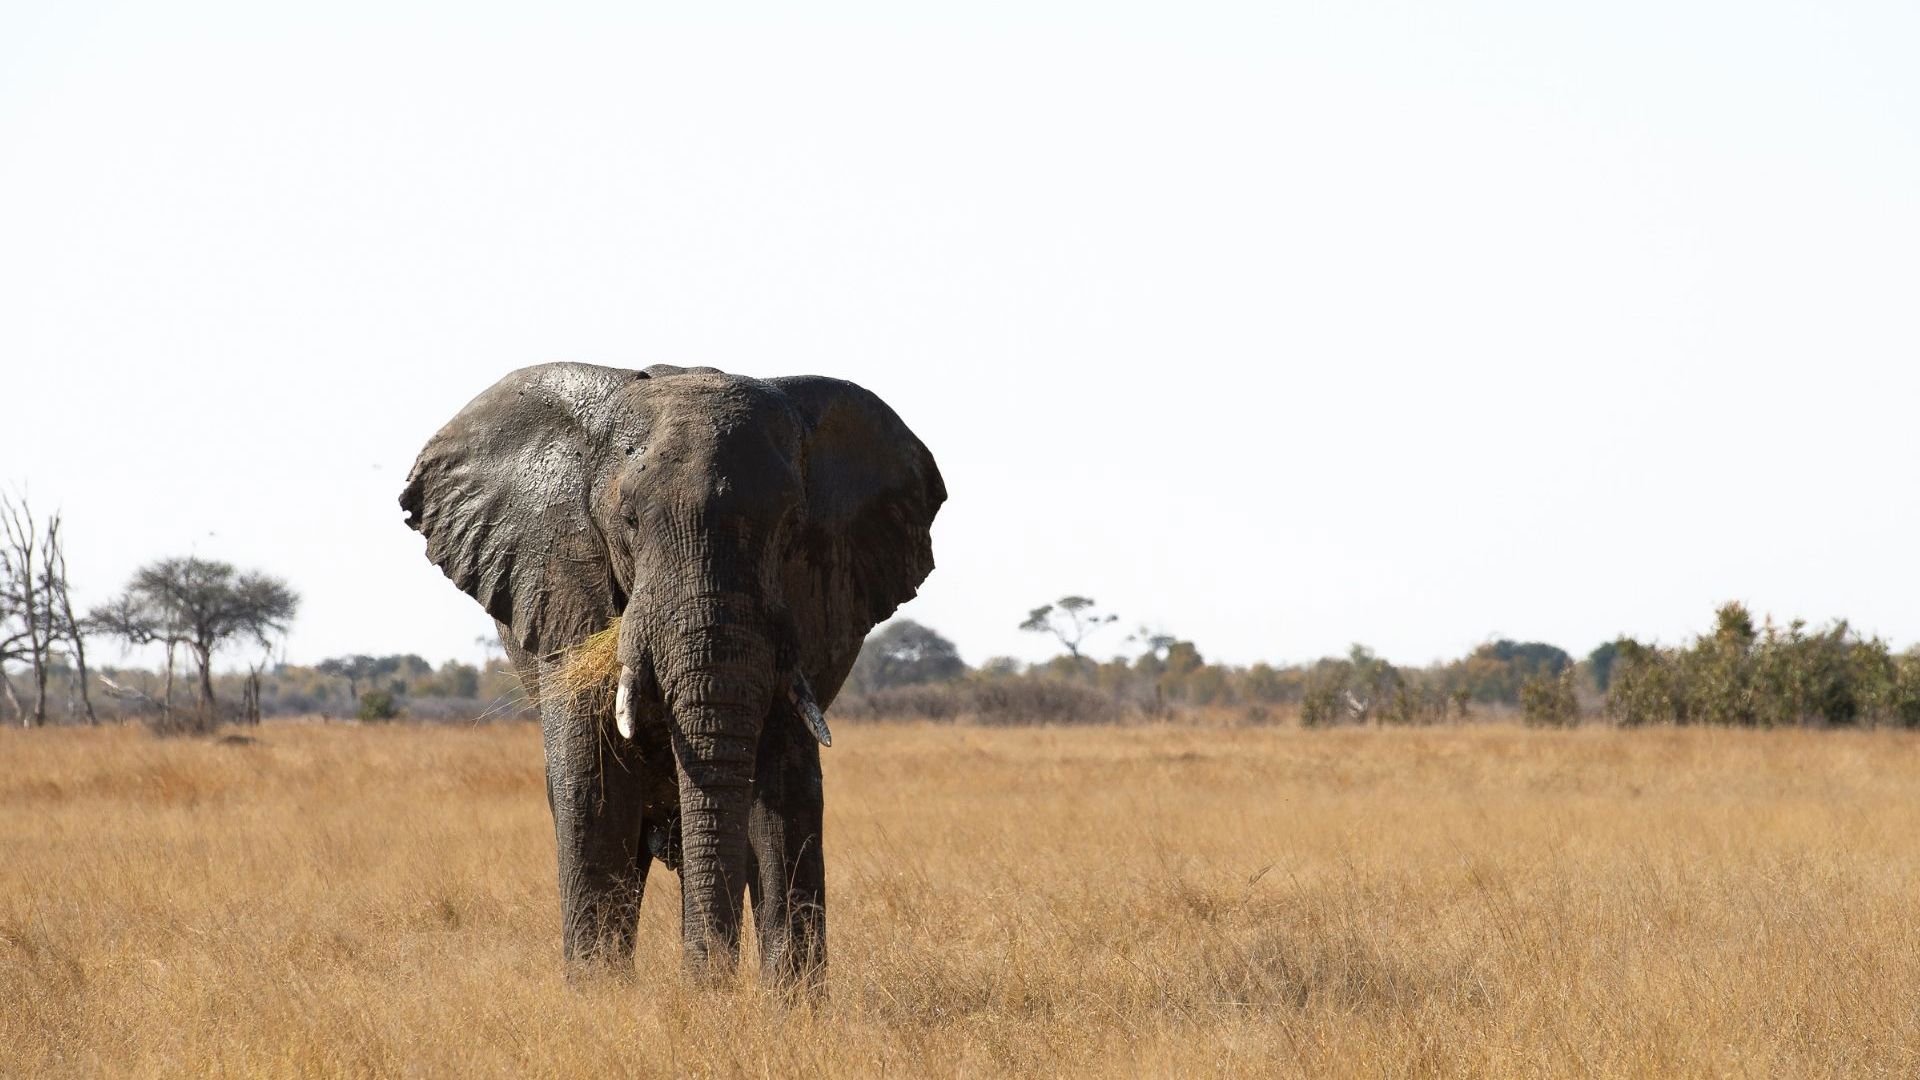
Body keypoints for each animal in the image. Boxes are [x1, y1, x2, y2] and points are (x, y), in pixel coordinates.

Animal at [399, 363, 944, 985]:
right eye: (629, 521)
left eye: (791, 526)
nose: (707, 986)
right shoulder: (567, 594)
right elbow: (595, 789)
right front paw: (602, 999)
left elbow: (786, 795)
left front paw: (788, 1005)